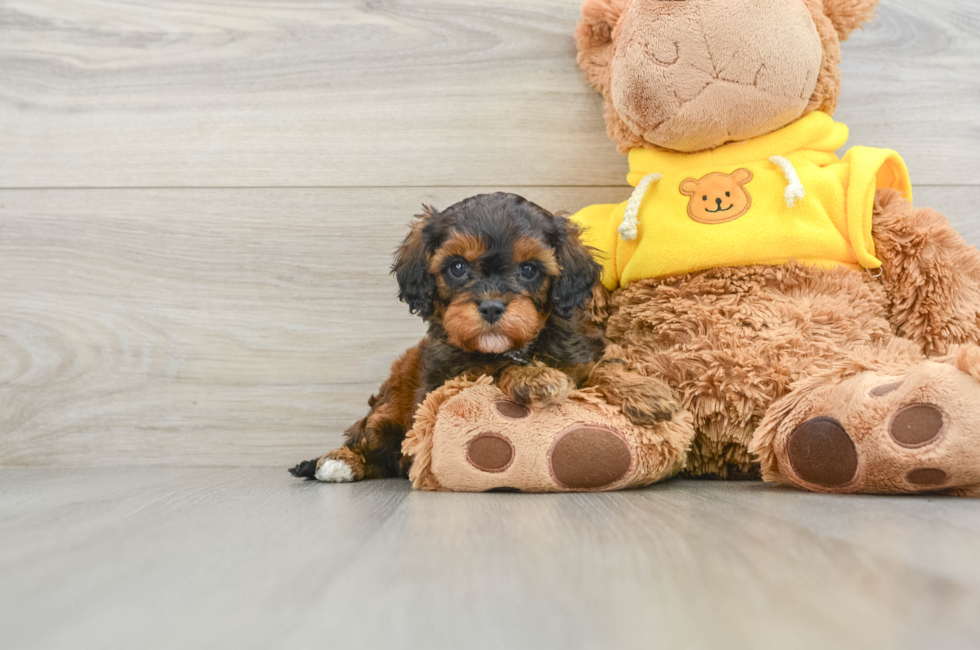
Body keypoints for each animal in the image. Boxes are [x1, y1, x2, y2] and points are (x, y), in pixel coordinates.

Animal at [290, 192, 672, 480]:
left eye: (529, 269)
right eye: (457, 267)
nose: (490, 307)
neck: (516, 346)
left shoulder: (575, 349)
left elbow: (599, 365)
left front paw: (643, 390)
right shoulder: (446, 379)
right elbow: (492, 368)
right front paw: (533, 377)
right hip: (390, 408)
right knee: (367, 438)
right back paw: (339, 462)